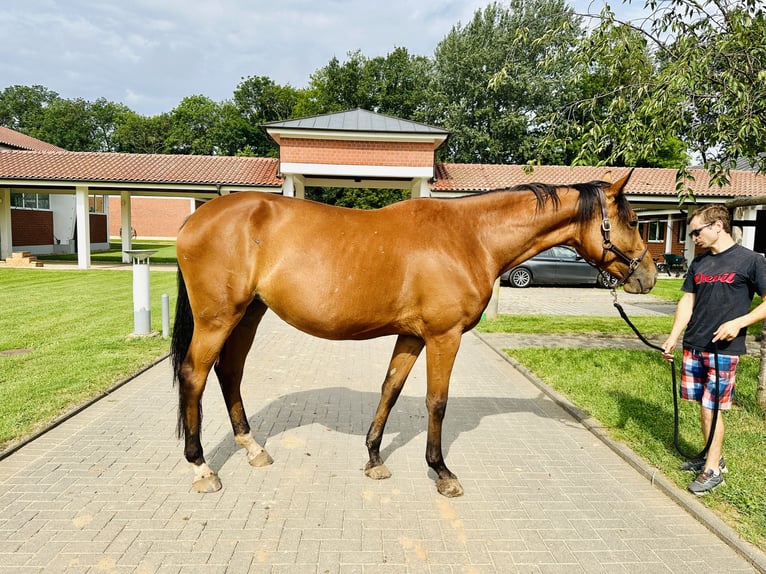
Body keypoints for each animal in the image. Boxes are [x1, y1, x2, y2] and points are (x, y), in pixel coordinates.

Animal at [171, 176, 656, 500]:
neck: (469, 238)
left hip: (248, 314)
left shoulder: (411, 336)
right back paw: (201, 468)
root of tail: (195, 217)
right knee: (195, 374)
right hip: (218, 318)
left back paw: (252, 448)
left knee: (230, 372)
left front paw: (374, 459)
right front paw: (441, 472)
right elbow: (436, 402)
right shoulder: (444, 336)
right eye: (634, 220)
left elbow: (391, 388)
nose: (649, 276)